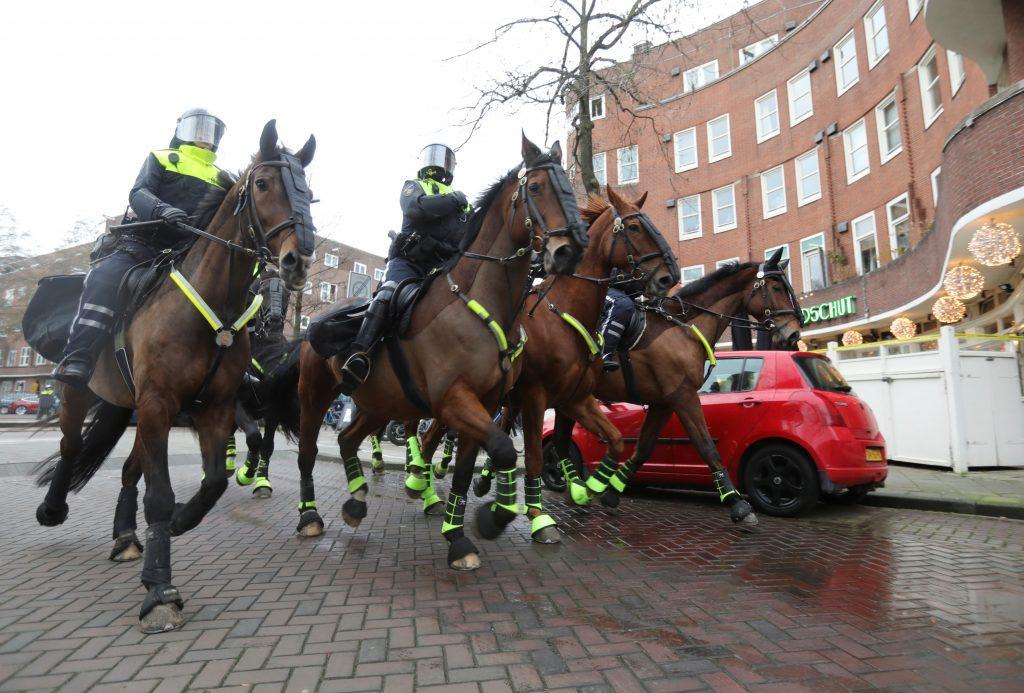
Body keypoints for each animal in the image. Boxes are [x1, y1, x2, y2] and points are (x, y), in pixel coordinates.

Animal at [35, 120, 315, 630]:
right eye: (264, 184)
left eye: (310, 191)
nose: (298, 260)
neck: (213, 308)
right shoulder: (161, 403)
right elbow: (160, 495)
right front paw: (161, 590)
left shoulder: (213, 409)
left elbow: (213, 482)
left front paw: (183, 521)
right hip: (81, 393)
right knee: (70, 446)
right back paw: (53, 508)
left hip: (127, 409)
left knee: (128, 469)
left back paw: (127, 537)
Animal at [292, 134, 589, 569]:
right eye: (535, 188)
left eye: (568, 186)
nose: (571, 250)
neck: (479, 304)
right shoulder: (453, 399)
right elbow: (503, 450)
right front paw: (490, 520)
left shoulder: (486, 403)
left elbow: (468, 469)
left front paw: (459, 535)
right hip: (315, 396)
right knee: (308, 452)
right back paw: (310, 516)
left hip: (380, 403)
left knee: (347, 438)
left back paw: (357, 501)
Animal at [552, 248, 798, 524]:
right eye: (776, 287)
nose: (793, 333)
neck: (684, 328)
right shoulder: (684, 397)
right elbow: (707, 448)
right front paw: (737, 504)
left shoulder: (664, 402)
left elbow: (644, 448)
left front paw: (612, 492)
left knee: (560, 442)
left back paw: (576, 492)